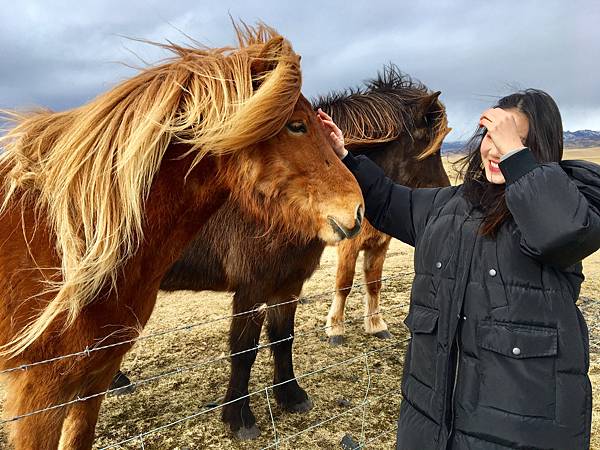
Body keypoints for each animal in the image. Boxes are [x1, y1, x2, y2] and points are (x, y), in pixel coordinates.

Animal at [0, 24, 364, 450]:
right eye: (296, 124)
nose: (357, 210)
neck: (73, 240)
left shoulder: (287, 284)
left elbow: (281, 338)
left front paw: (290, 395)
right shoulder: (39, 393)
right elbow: (245, 350)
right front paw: (240, 416)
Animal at [324, 67, 450, 342]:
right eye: (433, 151)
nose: (445, 192)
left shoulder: (379, 243)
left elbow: (374, 283)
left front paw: (376, 325)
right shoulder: (348, 247)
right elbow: (344, 283)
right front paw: (335, 329)